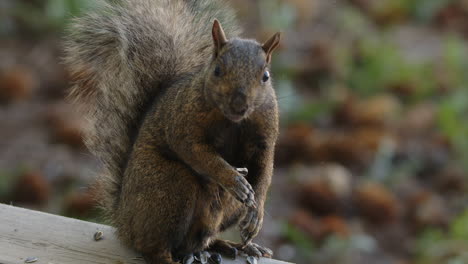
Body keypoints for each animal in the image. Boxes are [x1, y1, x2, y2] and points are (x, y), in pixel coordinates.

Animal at [64, 1, 280, 262]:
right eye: (217, 70)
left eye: (265, 76)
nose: (239, 104)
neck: (233, 122)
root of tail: (124, 221)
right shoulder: (182, 122)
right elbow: (195, 152)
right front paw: (234, 180)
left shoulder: (265, 136)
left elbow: (264, 170)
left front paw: (256, 215)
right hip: (172, 187)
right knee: (152, 245)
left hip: (224, 210)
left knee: (201, 240)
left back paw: (235, 246)